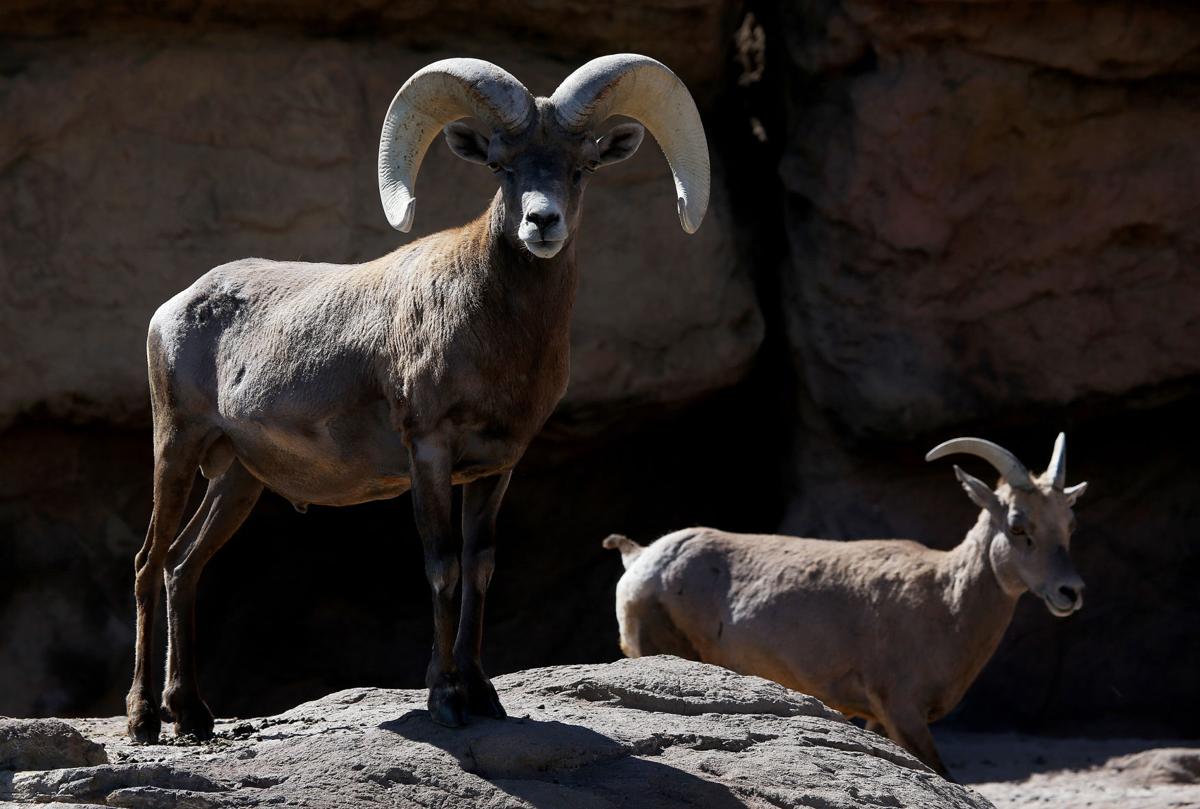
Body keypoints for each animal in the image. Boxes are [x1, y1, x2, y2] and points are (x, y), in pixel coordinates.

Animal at [126, 53, 705, 739]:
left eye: (581, 166)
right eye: (501, 165)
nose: (542, 222)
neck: (492, 329)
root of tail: (172, 308)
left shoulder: (496, 468)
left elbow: (479, 568)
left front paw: (483, 695)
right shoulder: (428, 451)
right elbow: (442, 566)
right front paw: (447, 699)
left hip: (238, 479)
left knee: (183, 566)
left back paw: (191, 715)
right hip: (178, 448)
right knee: (149, 563)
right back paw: (144, 720)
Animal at [604, 434, 1084, 772]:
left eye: (1069, 522)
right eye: (1019, 525)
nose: (1070, 591)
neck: (944, 602)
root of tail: (639, 557)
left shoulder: (882, 718)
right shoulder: (903, 711)